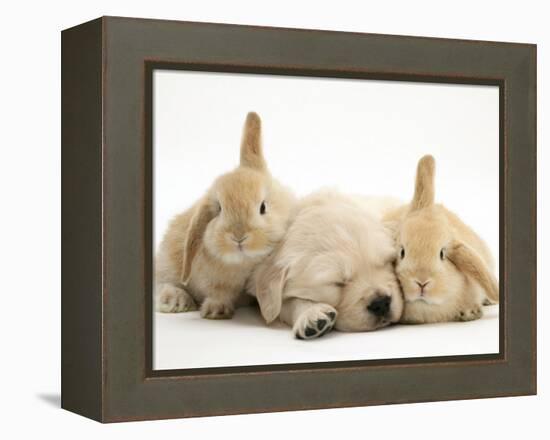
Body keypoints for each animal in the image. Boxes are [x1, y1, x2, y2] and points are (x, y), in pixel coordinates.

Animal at [155, 112, 298, 320]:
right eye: (220, 209)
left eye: (263, 207)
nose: (238, 237)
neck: (245, 264)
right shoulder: (214, 281)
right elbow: (218, 292)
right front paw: (217, 310)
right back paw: (175, 301)